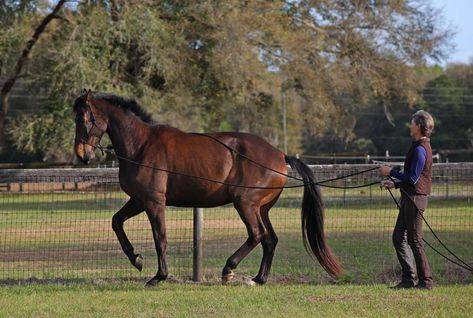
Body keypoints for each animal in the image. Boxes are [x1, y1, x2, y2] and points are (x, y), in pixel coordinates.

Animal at [72, 89, 342, 286]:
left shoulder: (154, 202)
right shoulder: (139, 200)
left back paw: (229, 269)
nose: (82, 155)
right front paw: (136, 259)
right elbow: (116, 222)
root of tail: (279, 155)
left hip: (245, 204)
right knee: (270, 239)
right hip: (261, 208)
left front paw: (159, 276)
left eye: (84, 118)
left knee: (257, 235)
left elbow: (160, 238)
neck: (141, 146)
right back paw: (259, 278)